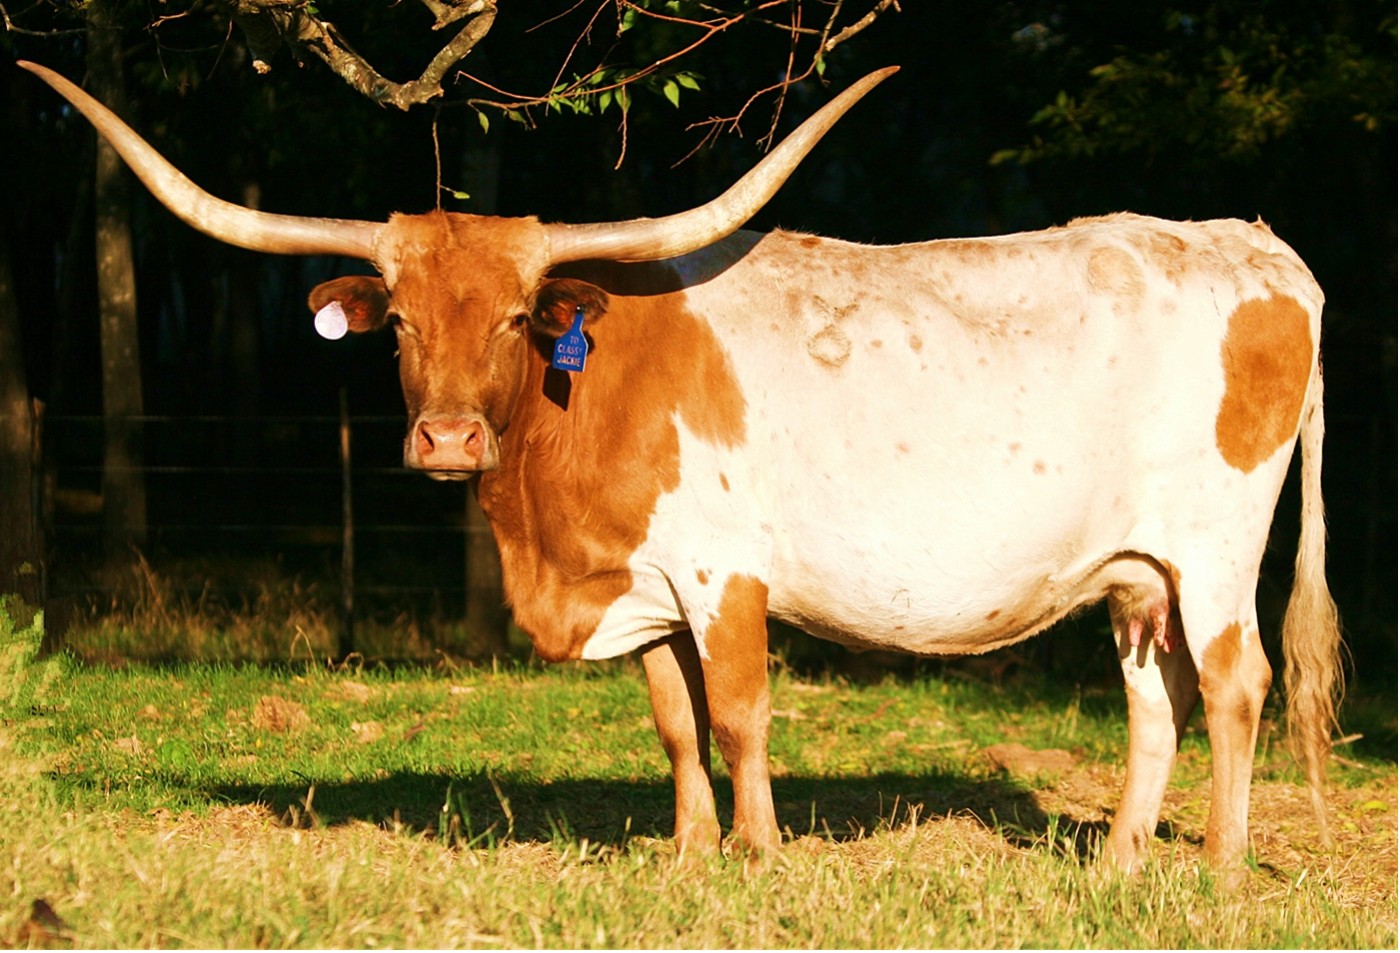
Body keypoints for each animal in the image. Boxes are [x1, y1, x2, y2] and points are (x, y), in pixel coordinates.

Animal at [23, 60, 1342, 884]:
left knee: (1235, 684)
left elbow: (742, 710)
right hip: (1136, 571)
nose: (446, 440)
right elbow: (672, 721)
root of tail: (1256, 247)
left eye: (515, 316)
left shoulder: (722, 576)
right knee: (1155, 694)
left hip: (1215, 549)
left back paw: (1218, 867)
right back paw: (1119, 859)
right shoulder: (643, 587)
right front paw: (690, 850)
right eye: (395, 320)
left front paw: (758, 853)